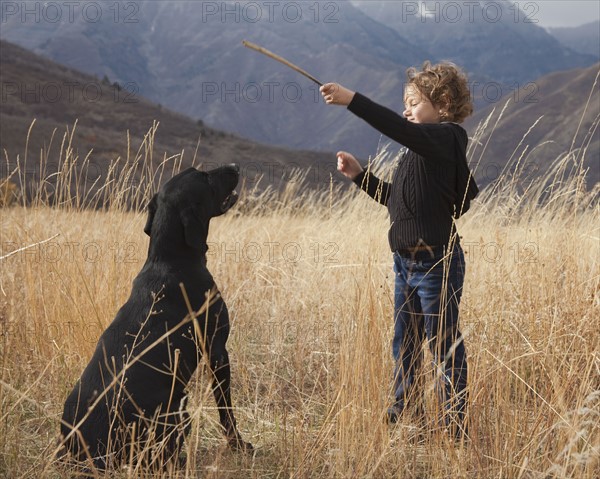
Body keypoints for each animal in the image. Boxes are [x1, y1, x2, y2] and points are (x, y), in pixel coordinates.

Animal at [62, 166, 253, 472]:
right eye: (204, 177)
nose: (234, 166)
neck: (170, 259)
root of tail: (86, 454)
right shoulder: (217, 350)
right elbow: (226, 407)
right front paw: (239, 444)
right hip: (179, 408)